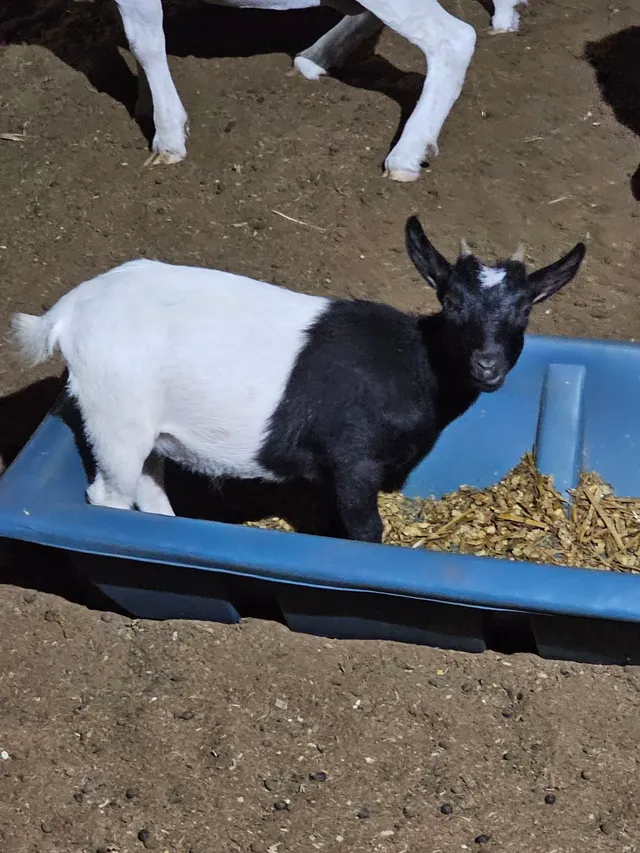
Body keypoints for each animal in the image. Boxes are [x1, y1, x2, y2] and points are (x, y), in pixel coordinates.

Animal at [11, 215, 584, 543]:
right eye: (452, 302)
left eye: (525, 310)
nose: (487, 364)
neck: (417, 363)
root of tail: (66, 313)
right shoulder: (353, 457)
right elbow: (365, 528)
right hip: (116, 418)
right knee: (109, 493)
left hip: (146, 429)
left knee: (150, 486)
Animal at [114, 0, 526, 180]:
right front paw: (145, 105)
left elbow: (145, 42)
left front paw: (168, 139)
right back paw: (317, 57)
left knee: (454, 39)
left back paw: (407, 155)